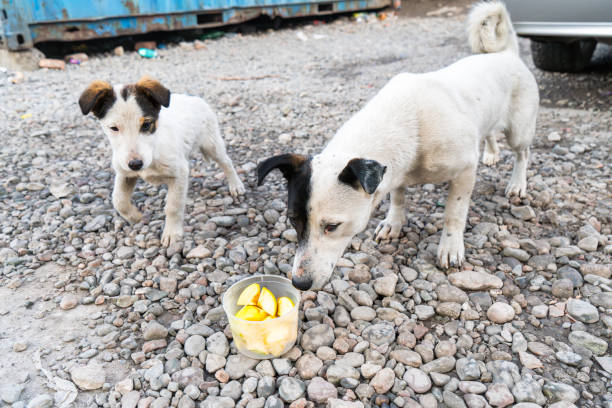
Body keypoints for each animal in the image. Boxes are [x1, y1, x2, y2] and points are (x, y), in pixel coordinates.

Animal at [79, 76, 244, 245]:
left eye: (146, 124)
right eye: (114, 128)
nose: (136, 164)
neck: (153, 151)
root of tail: (194, 98)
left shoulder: (179, 172)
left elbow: (173, 206)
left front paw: (172, 233)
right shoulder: (125, 171)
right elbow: (118, 200)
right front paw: (136, 217)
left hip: (212, 144)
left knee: (227, 162)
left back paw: (236, 185)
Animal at [256, 1, 536, 292]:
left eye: (332, 226)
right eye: (292, 219)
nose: (299, 283)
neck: (407, 121)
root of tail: (506, 53)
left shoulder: (465, 170)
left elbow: (454, 212)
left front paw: (450, 246)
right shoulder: (394, 173)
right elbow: (398, 198)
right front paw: (394, 223)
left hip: (518, 130)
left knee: (522, 153)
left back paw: (517, 184)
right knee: (489, 133)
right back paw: (491, 154)